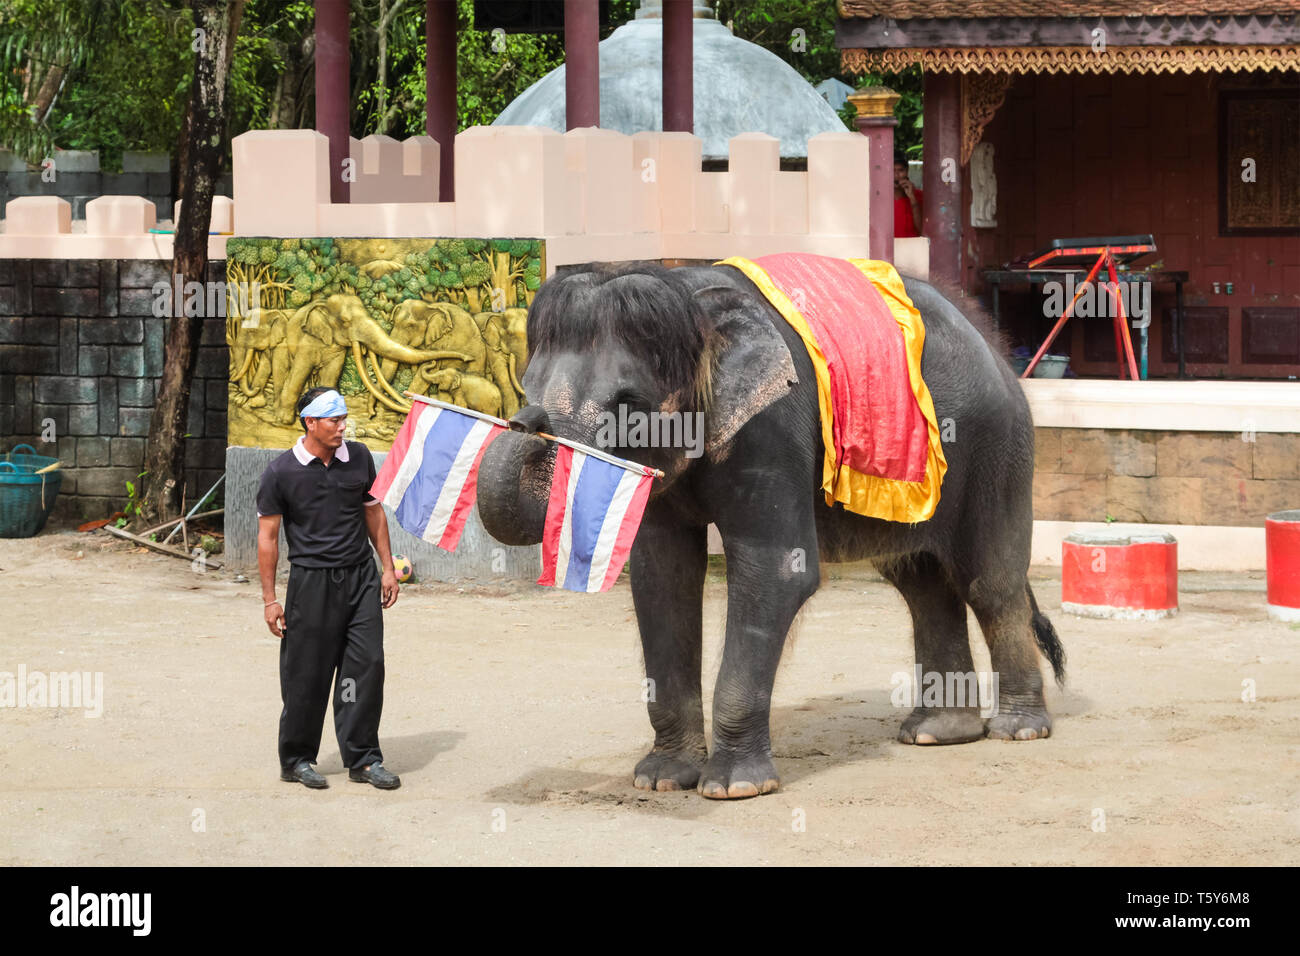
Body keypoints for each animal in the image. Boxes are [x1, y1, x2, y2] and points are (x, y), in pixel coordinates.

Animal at [276, 293, 470, 424]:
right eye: (345, 321)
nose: (467, 358)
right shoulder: (307, 340)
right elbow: (300, 371)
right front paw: (286, 421)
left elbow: (331, 375)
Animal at [478, 260, 1066, 801]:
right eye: (528, 384)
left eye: (628, 404)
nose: (524, 419)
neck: (689, 300)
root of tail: (991, 341)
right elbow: (663, 577)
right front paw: (661, 779)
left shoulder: (775, 426)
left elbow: (778, 572)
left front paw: (733, 788)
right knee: (921, 584)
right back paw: (937, 734)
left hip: (998, 448)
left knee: (989, 583)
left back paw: (1018, 730)